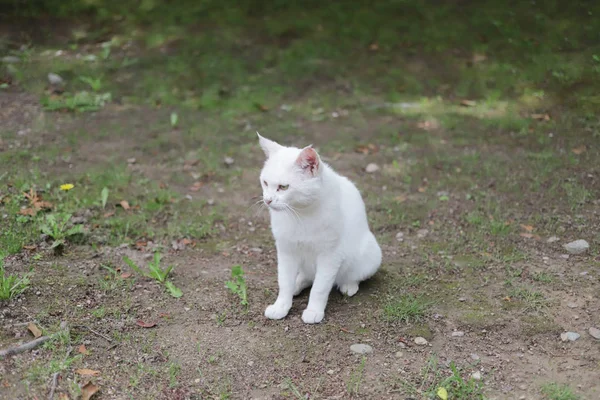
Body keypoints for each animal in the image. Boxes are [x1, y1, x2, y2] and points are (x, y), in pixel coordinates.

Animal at [256, 133, 380, 324]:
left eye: (283, 187)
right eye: (265, 182)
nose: (268, 200)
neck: (300, 214)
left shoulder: (330, 255)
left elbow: (320, 288)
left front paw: (314, 311)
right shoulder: (286, 251)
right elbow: (284, 282)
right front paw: (281, 306)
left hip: (370, 253)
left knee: (349, 276)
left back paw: (348, 285)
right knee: (307, 277)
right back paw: (297, 285)